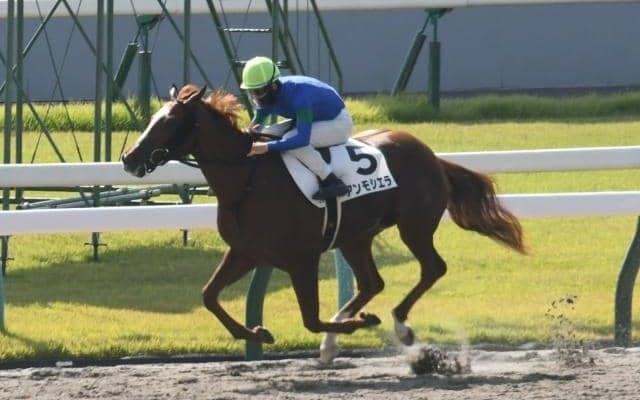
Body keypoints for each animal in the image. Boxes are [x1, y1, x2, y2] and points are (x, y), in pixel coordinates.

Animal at [122, 84, 527, 363]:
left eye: (169, 122)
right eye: (153, 118)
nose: (129, 158)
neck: (247, 179)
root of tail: (431, 155)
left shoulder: (301, 259)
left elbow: (311, 319)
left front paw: (362, 323)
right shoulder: (246, 252)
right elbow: (209, 296)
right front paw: (258, 333)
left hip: (414, 225)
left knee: (432, 268)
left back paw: (398, 324)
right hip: (356, 236)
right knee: (372, 282)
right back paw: (337, 342)